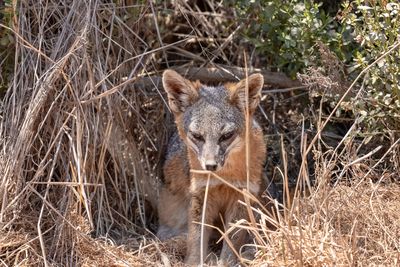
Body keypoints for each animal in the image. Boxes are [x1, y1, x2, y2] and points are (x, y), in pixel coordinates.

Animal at [158, 69, 268, 266]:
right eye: (197, 136)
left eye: (226, 136)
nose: (210, 165)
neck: (224, 177)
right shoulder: (201, 195)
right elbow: (197, 238)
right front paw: (194, 262)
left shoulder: (242, 196)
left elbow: (232, 240)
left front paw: (226, 262)